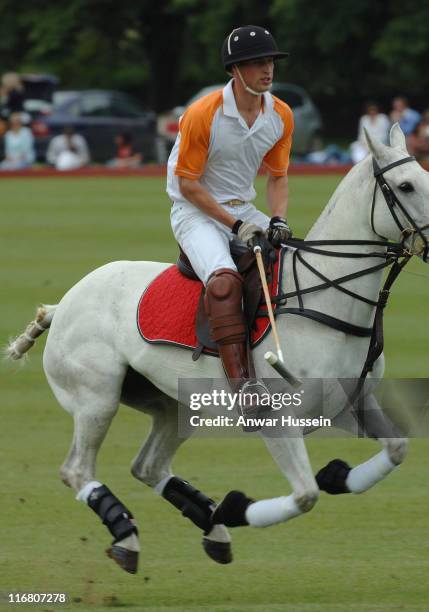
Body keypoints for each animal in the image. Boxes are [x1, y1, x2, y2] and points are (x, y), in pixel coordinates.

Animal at [6, 124, 428, 572]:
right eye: (405, 186)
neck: (325, 299)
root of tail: (63, 303)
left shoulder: (350, 404)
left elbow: (397, 449)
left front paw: (333, 476)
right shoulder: (278, 421)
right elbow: (304, 495)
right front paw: (237, 506)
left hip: (175, 406)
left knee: (148, 466)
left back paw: (212, 526)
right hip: (95, 399)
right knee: (78, 470)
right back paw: (130, 534)